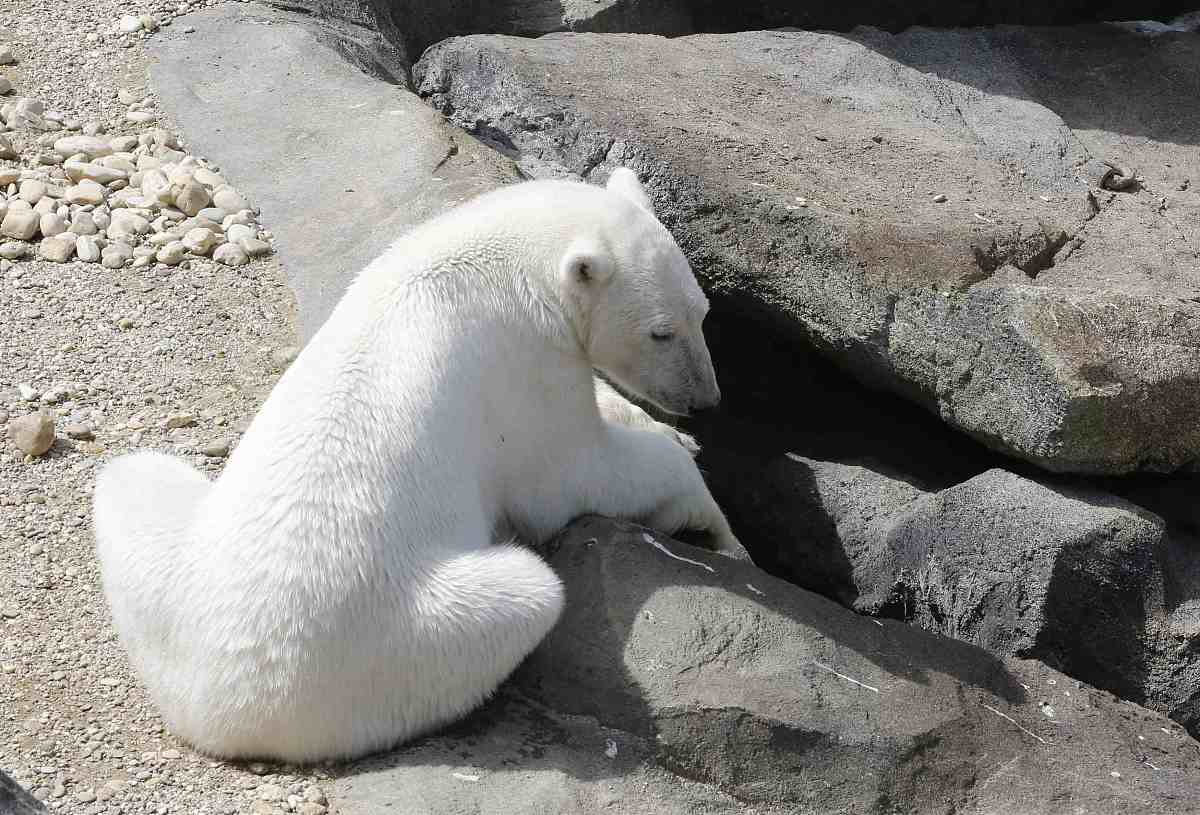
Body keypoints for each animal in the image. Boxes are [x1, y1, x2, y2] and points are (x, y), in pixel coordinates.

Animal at [92, 168, 745, 763]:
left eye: (704, 312)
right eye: (662, 332)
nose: (706, 400)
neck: (502, 257)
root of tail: (207, 709)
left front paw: (670, 434)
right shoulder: (521, 363)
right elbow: (573, 471)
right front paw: (718, 529)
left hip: (164, 569)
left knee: (129, 474)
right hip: (387, 643)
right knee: (528, 594)